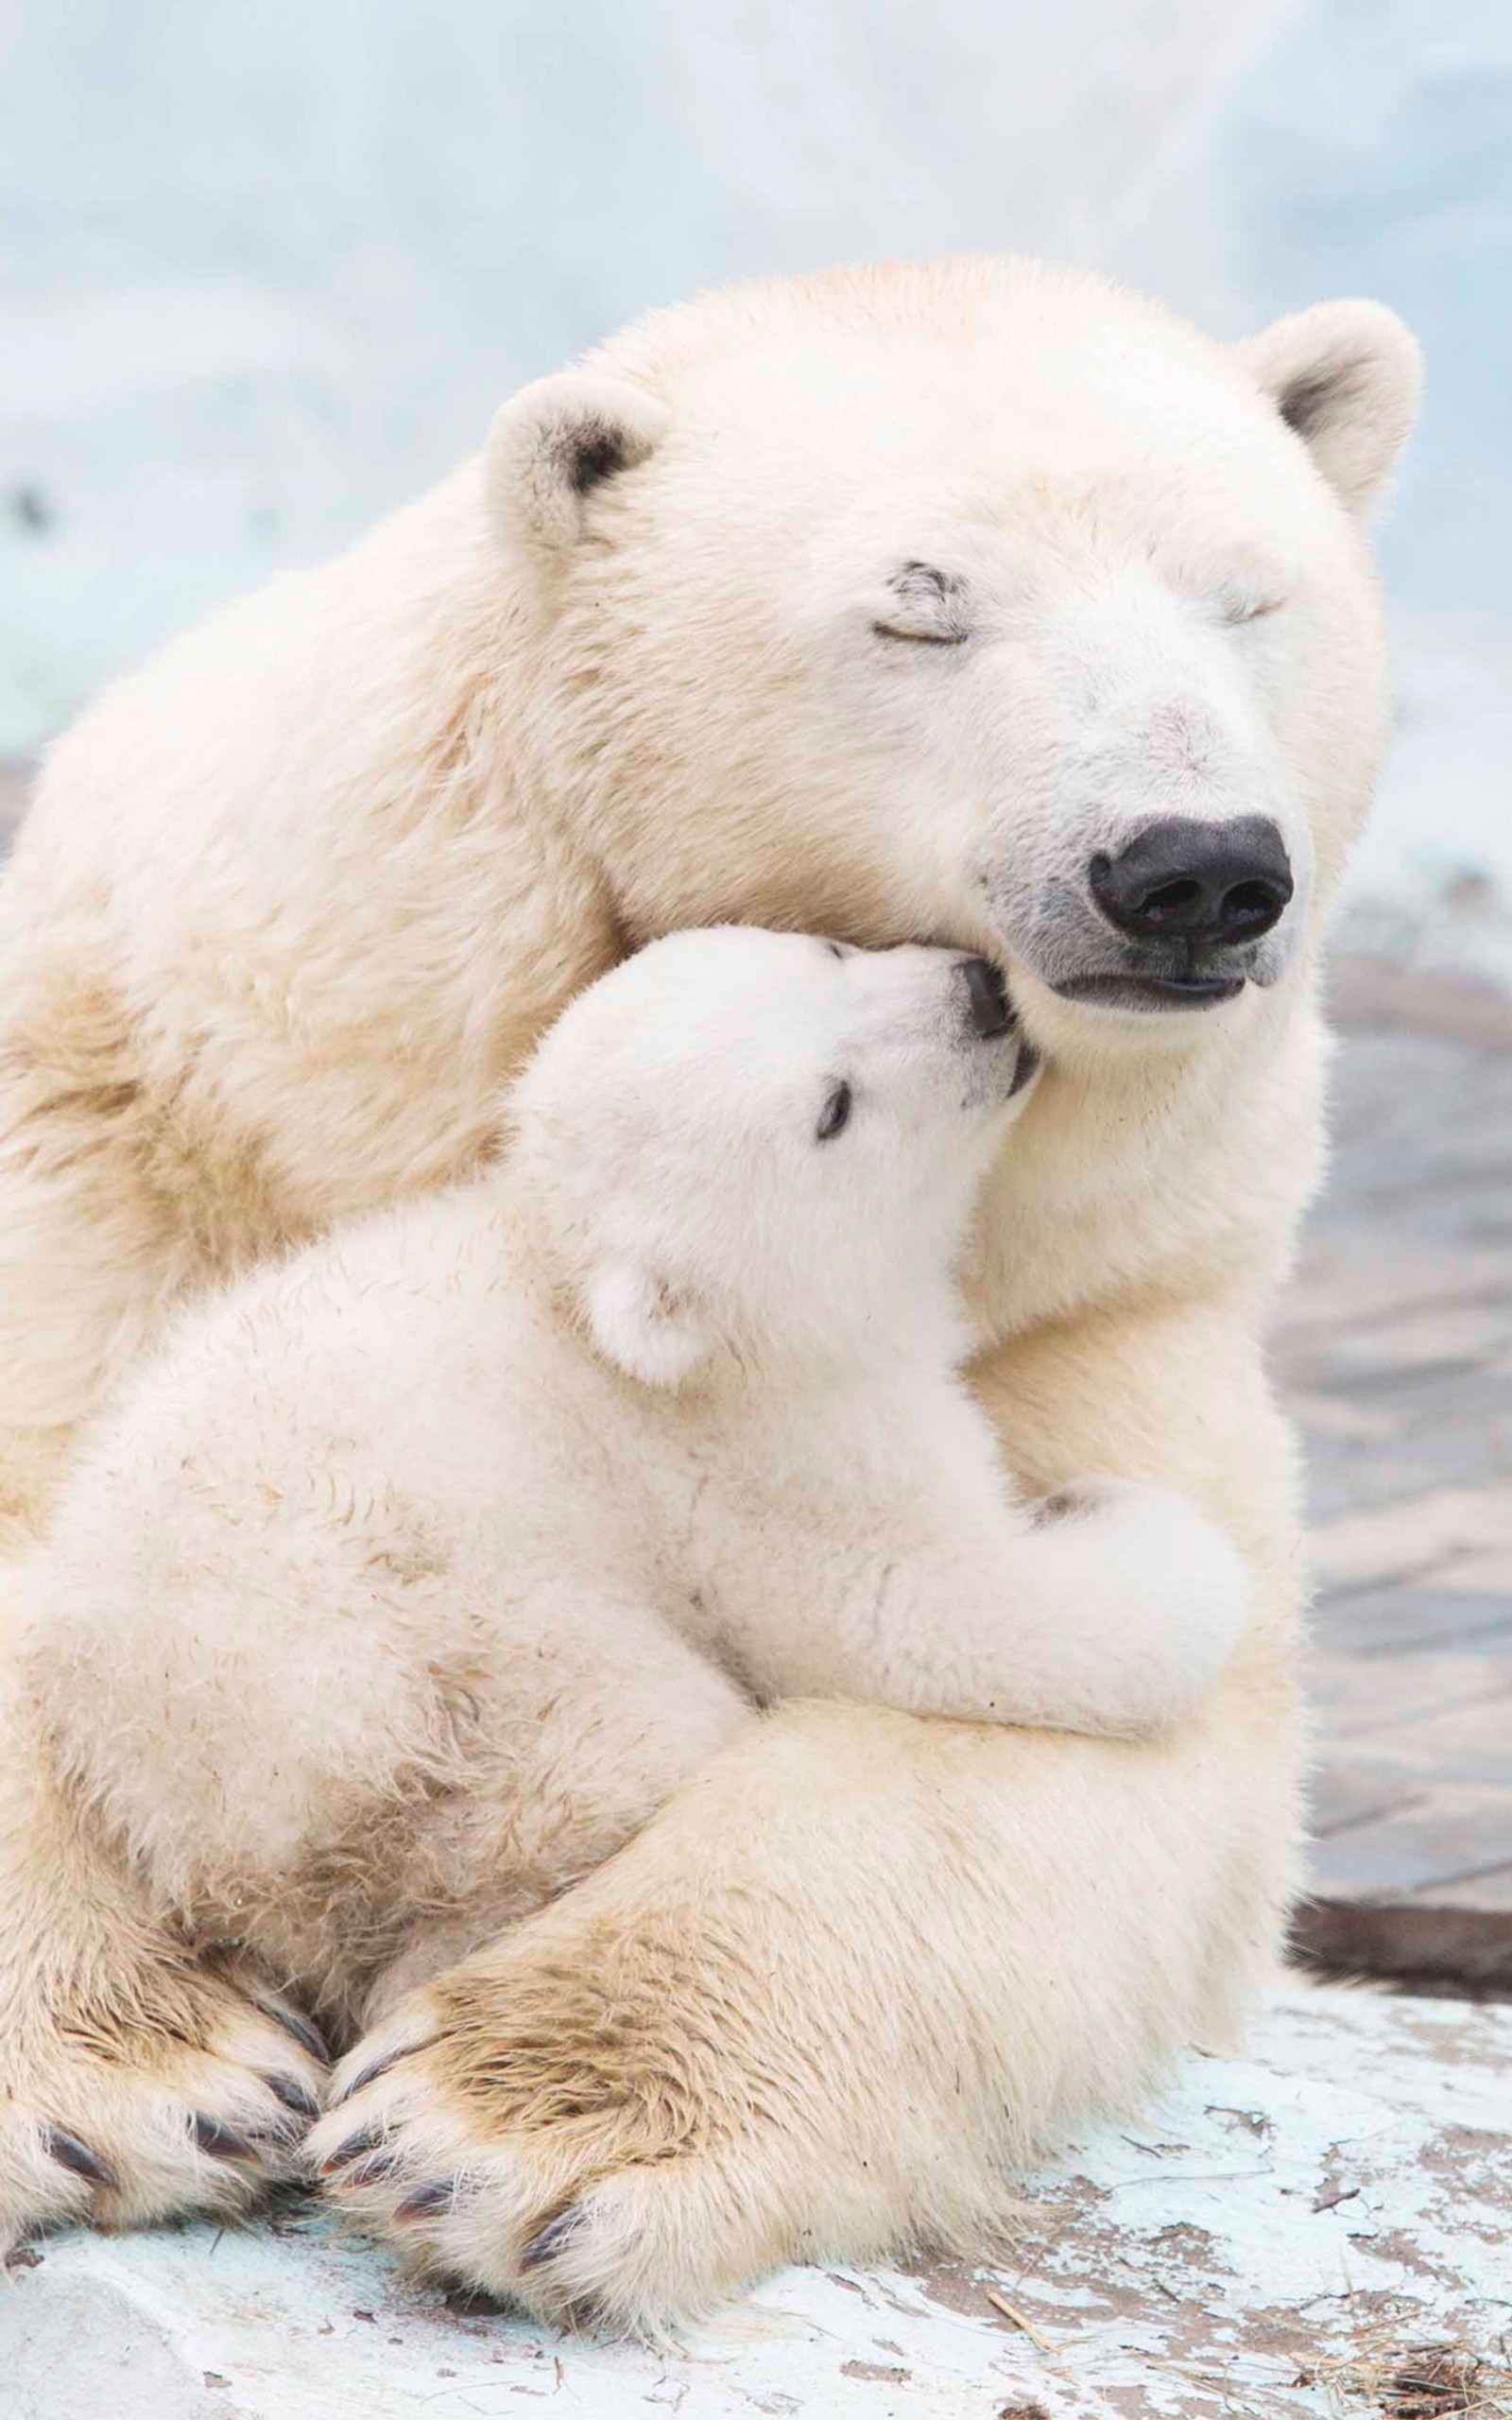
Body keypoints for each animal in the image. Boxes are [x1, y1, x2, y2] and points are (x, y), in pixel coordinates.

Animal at [0, 255, 1413, 2313]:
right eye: (920, 603)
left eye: (1249, 596)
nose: (1190, 867)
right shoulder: (154, 1124)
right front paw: (136, 2068)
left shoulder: (1109, 1281)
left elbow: (1081, 1728)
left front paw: (513, 2116)